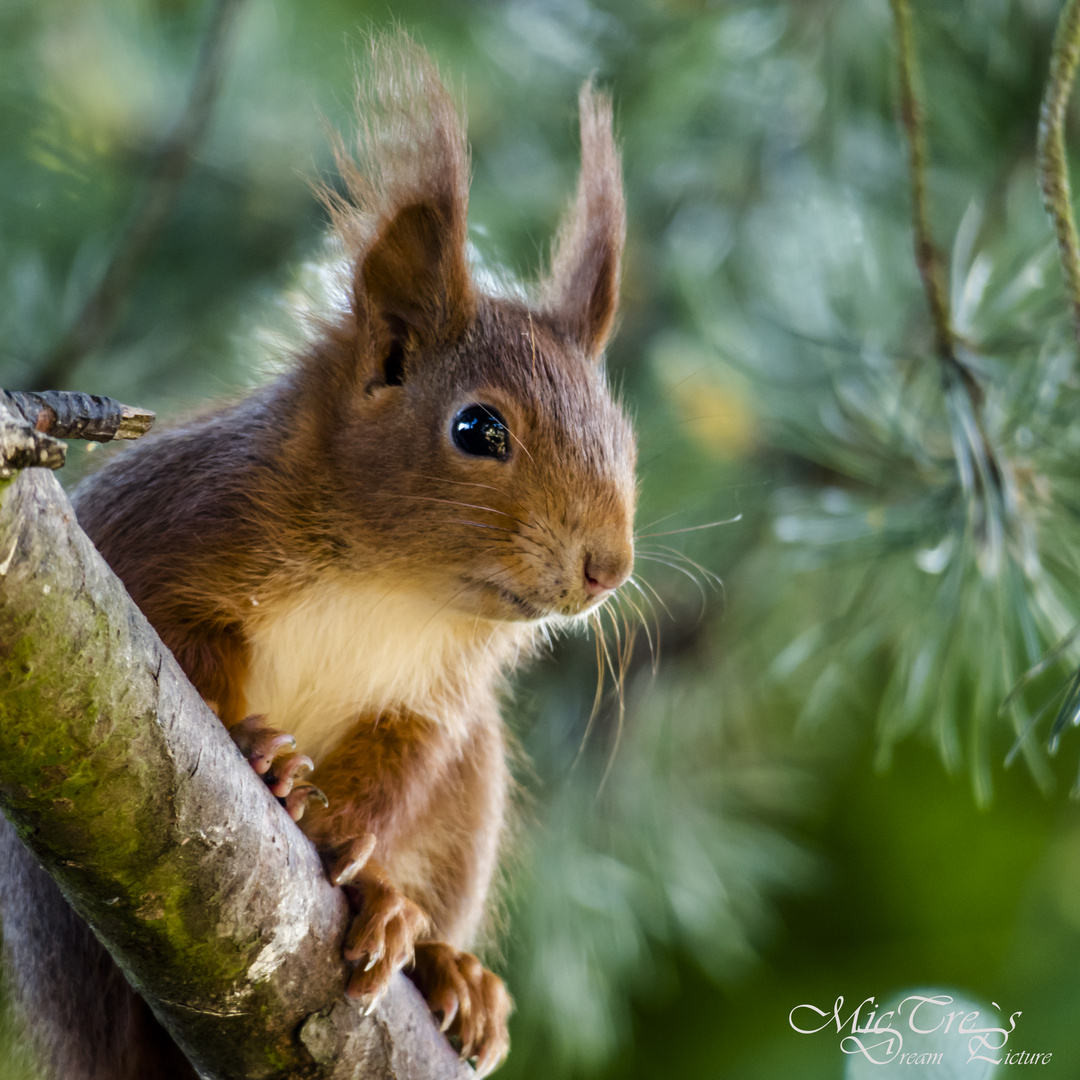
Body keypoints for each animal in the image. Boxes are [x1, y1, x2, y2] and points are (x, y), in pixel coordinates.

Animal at [0, 33, 635, 1080]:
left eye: (626, 441)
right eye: (478, 429)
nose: (607, 568)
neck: (395, 585)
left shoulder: (433, 695)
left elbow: (400, 769)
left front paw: (348, 837)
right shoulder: (170, 532)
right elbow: (179, 649)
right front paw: (261, 755)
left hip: (475, 790)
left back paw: (437, 958)